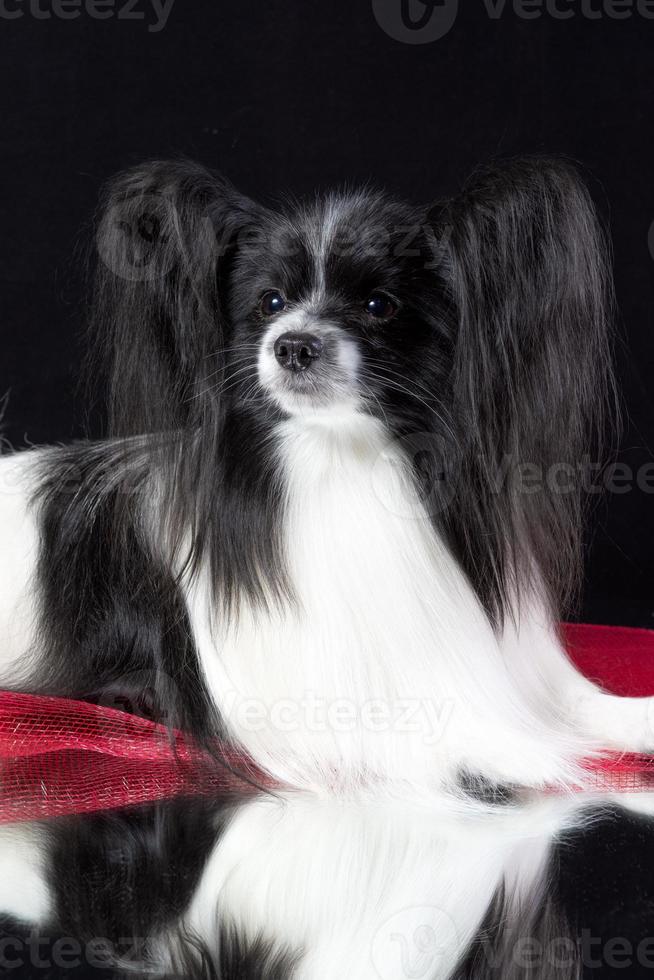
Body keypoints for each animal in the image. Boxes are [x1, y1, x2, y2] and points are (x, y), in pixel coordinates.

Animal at [0, 157, 652, 976]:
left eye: (379, 305)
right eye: (270, 302)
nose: (293, 343)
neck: (341, 465)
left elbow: (584, 709)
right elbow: (502, 745)